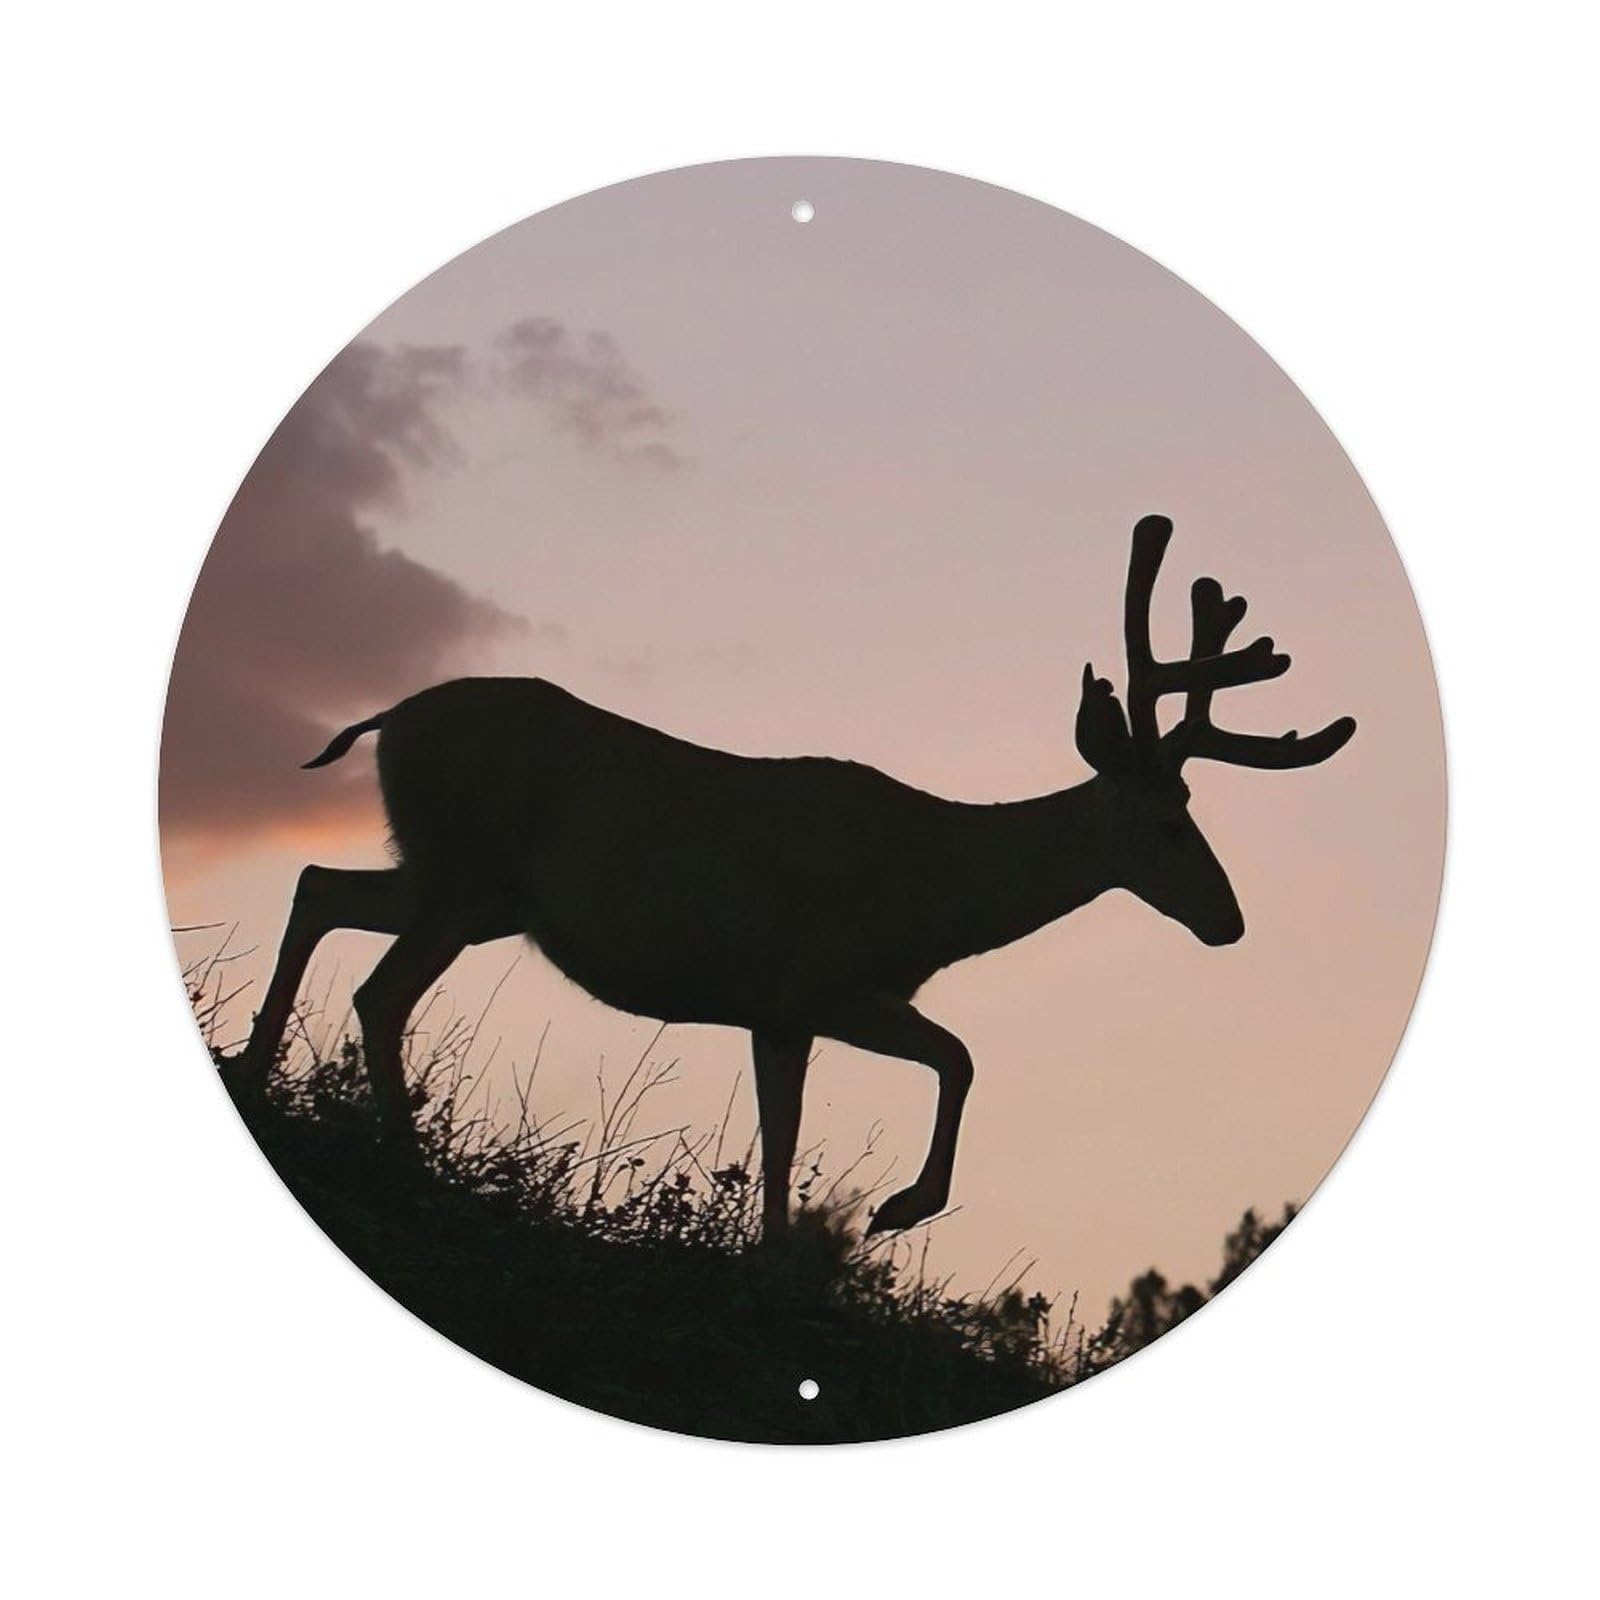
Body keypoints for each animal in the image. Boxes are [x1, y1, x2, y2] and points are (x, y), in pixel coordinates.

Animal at [233, 515, 1355, 1239]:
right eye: (1167, 823)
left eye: (1194, 809)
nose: (1228, 921)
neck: (937, 892)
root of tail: (388, 718)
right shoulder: (823, 980)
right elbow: (959, 1058)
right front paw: (899, 1208)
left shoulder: (781, 1011)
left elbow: (783, 1140)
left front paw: (773, 1256)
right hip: (465, 875)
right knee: (380, 992)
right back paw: (402, 1152)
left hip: (458, 886)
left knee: (318, 884)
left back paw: (252, 1073)